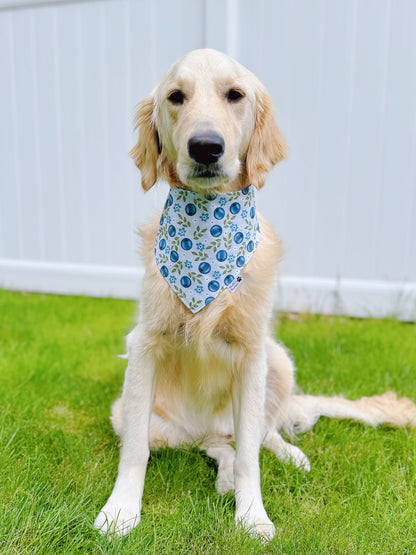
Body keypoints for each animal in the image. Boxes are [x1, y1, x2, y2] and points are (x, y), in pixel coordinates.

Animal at [94, 50, 416, 540]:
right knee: (214, 445)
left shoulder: (250, 354)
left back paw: (287, 455)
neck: (207, 233)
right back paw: (224, 474)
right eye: (176, 96)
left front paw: (252, 516)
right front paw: (120, 512)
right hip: (138, 413)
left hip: (276, 359)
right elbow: (135, 453)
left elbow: (251, 454)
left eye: (235, 95)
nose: (206, 146)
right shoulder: (144, 345)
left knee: (258, 433)